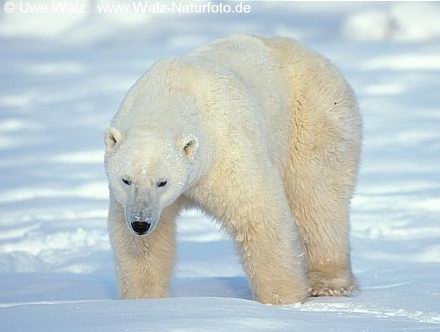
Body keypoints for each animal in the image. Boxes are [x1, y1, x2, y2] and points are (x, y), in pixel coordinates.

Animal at [103, 35, 360, 304]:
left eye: (162, 182)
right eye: (126, 180)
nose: (140, 223)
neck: (170, 95)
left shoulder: (227, 151)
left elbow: (257, 214)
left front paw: (283, 298)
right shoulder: (132, 201)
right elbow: (142, 246)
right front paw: (143, 301)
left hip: (314, 120)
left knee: (318, 199)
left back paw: (327, 283)